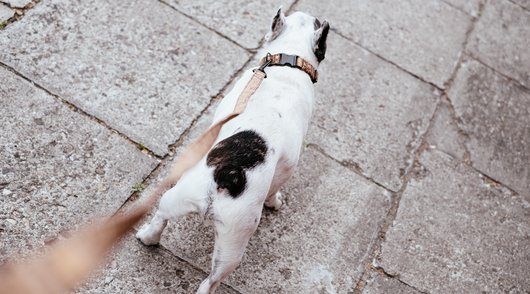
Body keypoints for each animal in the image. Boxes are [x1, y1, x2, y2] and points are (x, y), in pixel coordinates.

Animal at [135, 8, 326, 292]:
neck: (288, 59)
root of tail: (227, 174)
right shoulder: (288, 165)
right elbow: (275, 187)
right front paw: (275, 202)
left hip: (181, 198)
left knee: (161, 217)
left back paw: (148, 237)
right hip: (237, 234)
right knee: (213, 279)